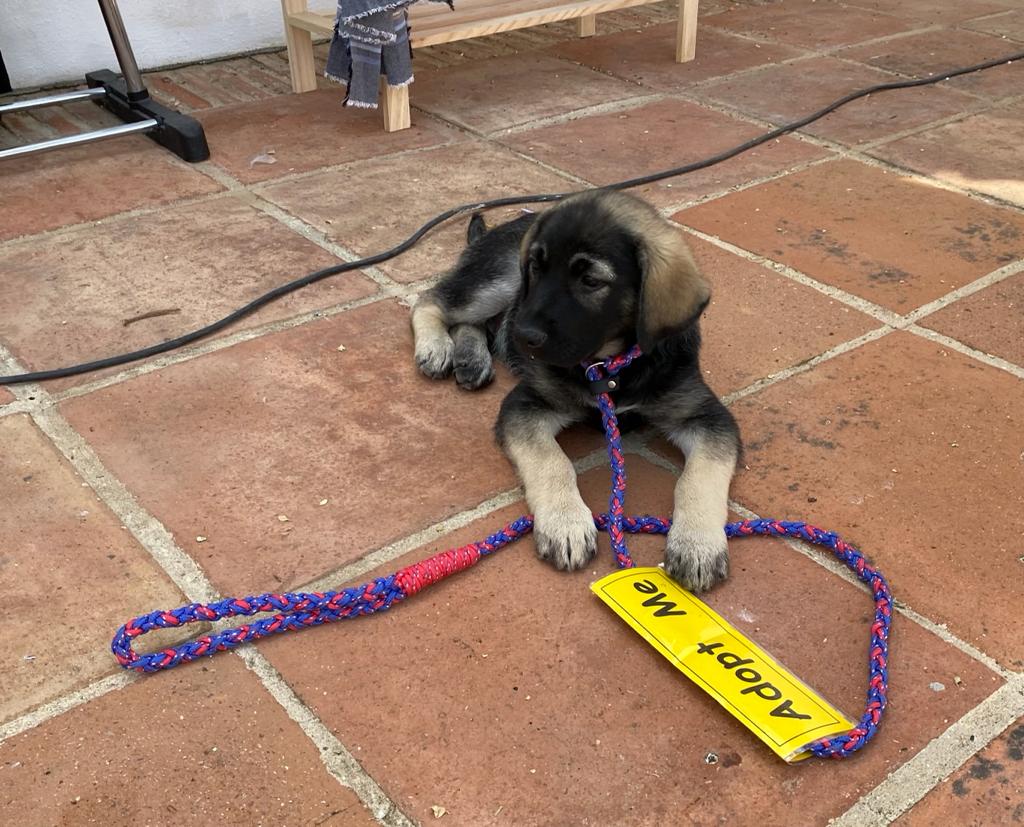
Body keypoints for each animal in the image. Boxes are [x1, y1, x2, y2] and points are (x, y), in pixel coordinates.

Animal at [410, 190, 740, 592]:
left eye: (591, 281)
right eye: (536, 268)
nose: (520, 335)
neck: (611, 367)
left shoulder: (706, 416)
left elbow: (700, 476)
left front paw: (697, 543)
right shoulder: (527, 403)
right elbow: (552, 461)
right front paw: (565, 522)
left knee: (472, 322)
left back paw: (471, 357)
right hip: (498, 281)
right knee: (432, 300)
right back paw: (437, 347)